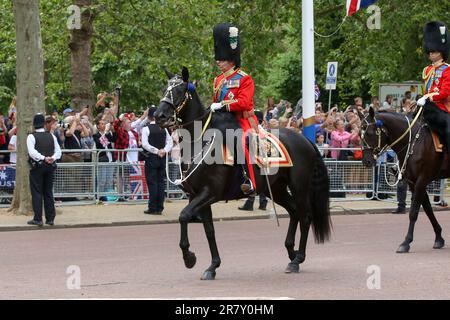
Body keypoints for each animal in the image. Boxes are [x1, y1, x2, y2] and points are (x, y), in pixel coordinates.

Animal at [155, 67, 330, 280]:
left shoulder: (209, 193)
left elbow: (183, 216)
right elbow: (209, 230)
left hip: (299, 187)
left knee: (305, 217)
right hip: (276, 189)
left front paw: (189, 257)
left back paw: (297, 259)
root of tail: (305, 140)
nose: (159, 116)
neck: (198, 141)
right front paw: (212, 266)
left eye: (180, 90)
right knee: (295, 211)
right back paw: (291, 252)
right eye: (165, 88)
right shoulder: (197, 195)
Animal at [360, 107, 448, 252]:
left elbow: (413, 212)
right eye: (359, 134)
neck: (413, 142)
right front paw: (439, 238)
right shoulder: (414, 182)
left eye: (370, 133)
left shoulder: (422, 180)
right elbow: (428, 209)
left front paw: (406, 242)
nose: (366, 161)